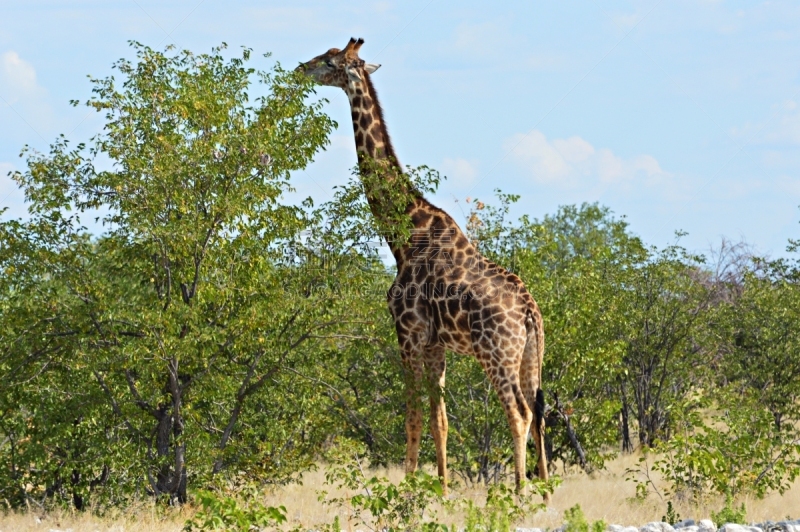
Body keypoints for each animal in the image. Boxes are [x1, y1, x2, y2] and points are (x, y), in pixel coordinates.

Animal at [300, 37, 552, 498]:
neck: (404, 234)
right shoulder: (437, 344)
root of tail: (529, 310)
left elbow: (412, 416)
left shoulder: (407, 332)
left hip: (496, 352)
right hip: (529, 354)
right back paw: (544, 487)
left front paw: (409, 488)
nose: (300, 67)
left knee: (520, 412)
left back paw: (519, 491)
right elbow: (441, 420)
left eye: (329, 60)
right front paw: (442, 488)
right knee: (540, 410)